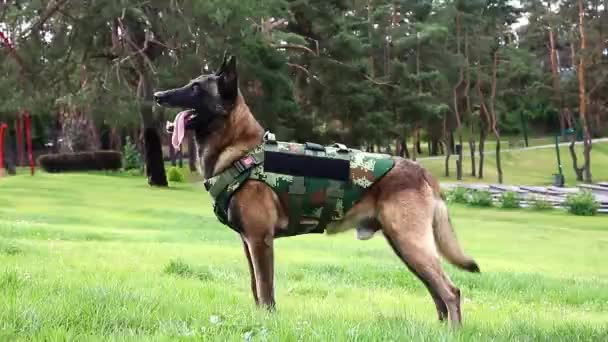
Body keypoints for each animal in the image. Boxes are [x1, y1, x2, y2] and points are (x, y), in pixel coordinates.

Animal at [153, 52, 480, 326]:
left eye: (196, 88)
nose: (158, 96)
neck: (241, 150)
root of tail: (423, 172)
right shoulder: (247, 243)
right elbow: (255, 288)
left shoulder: (260, 240)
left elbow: (266, 290)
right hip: (405, 246)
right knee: (436, 292)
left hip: (411, 243)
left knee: (450, 291)